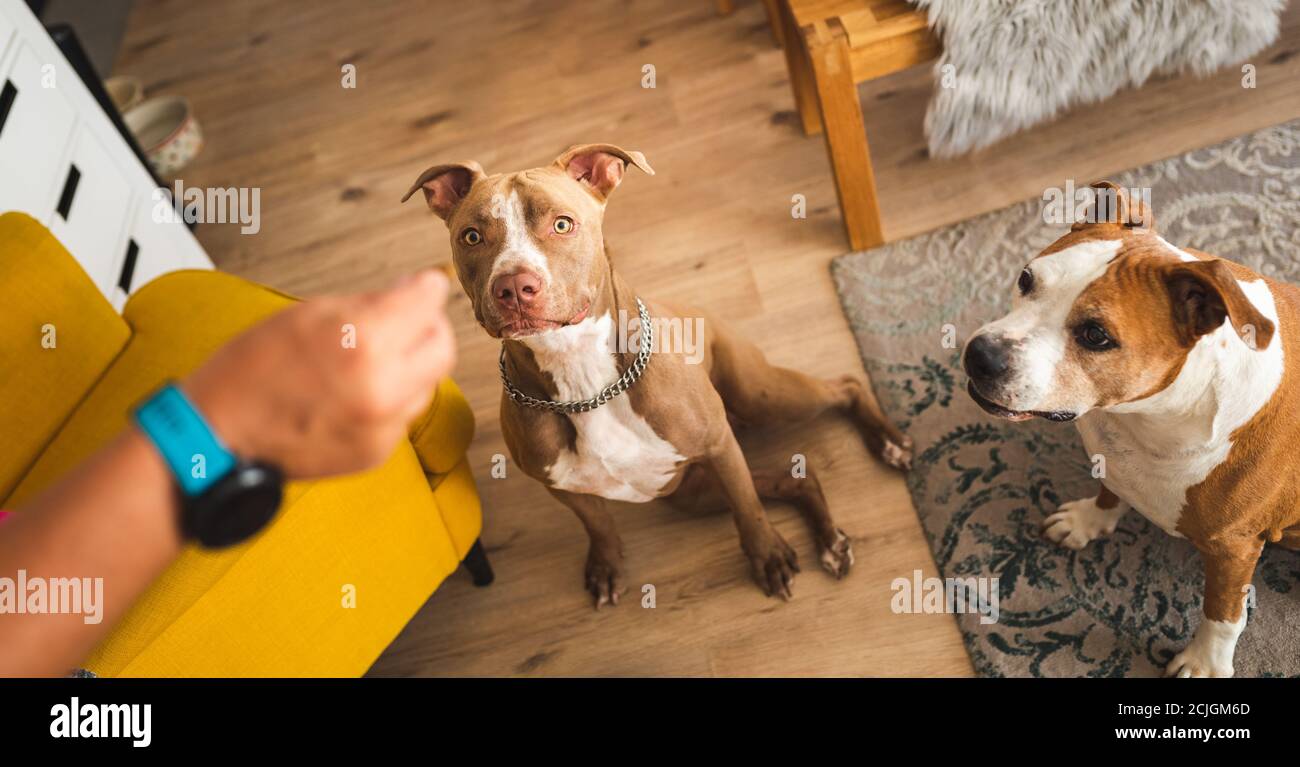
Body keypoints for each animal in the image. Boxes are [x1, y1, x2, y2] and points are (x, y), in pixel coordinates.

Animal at [405, 147, 915, 611]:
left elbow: (748, 510)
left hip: (762, 398)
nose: (513, 286)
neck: (581, 377)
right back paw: (831, 541)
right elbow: (599, 525)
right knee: (796, 482)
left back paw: (888, 446)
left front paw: (768, 556)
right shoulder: (561, 485)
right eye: (472, 236)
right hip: (695, 492)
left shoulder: (719, 445)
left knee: (845, 387)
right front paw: (607, 566)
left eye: (562, 225)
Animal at [967, 184, 1300, 681]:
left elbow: (1222, 613)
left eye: (1095, 335)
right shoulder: (1115, 457)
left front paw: (1204, 663)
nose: (980, 355)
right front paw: (1089, 521)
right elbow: (1110, 489)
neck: (1147, 418)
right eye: (1026, 279)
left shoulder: (1234, 548)